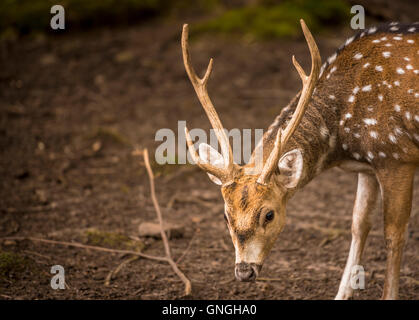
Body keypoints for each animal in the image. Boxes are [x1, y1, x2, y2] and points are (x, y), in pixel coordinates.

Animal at [181, 20, 419, 300]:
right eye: (225, 217)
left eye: (269, 215)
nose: (244, 271)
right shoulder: (368, 167)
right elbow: (359, 224)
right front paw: (341, 295)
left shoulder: (397, 156)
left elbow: (394, 234)